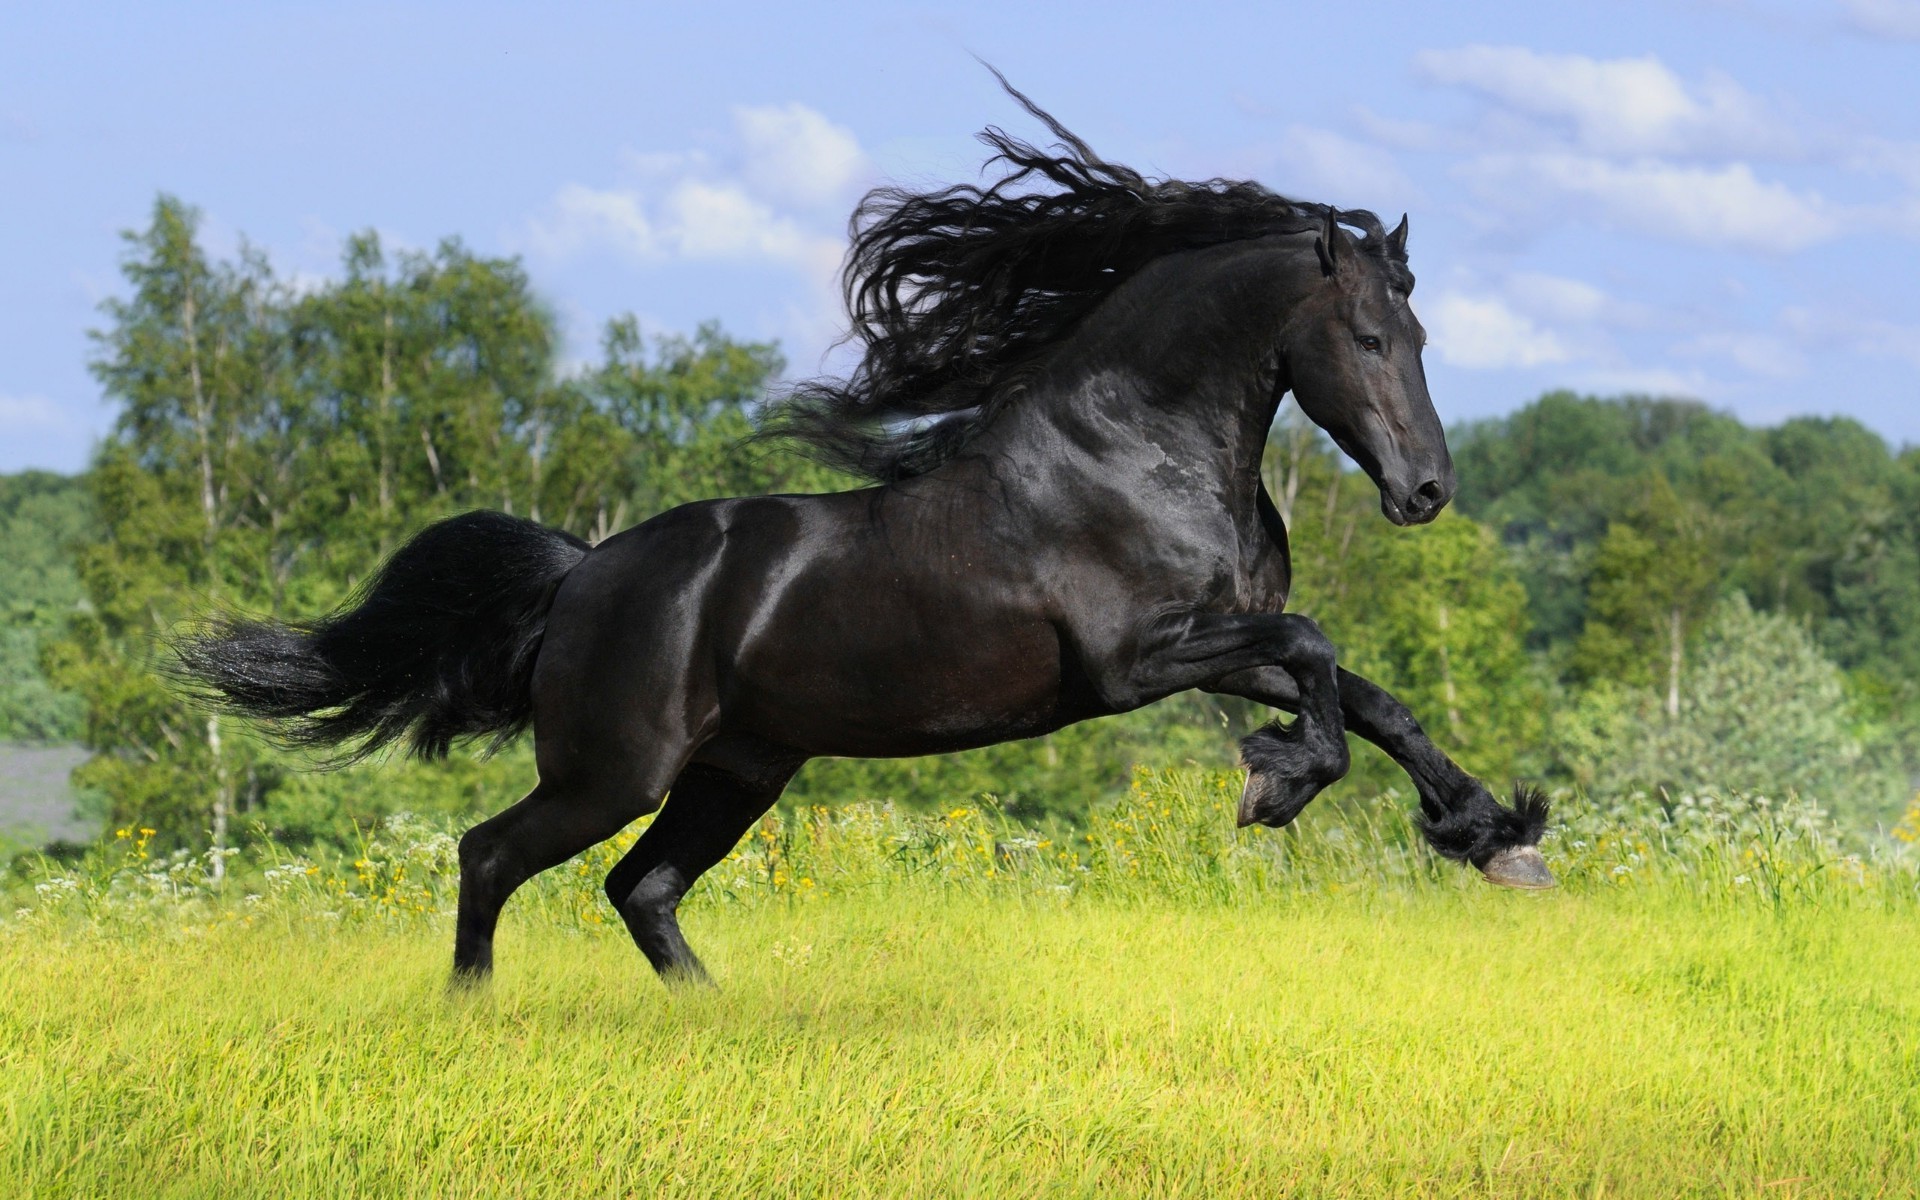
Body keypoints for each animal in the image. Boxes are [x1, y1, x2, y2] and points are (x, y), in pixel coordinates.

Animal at [180, 84, 1551, 983]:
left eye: (1420, 334)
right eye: (1367, 336)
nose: (1425, 491)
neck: (1134, 451)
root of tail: (580, 577)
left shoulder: (1217, 640)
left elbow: (1373, 697)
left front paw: (1496, 840)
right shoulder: (1137, 662)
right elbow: (1319, 653)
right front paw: (1279, 784)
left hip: (737, 770)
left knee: (641, 888)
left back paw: (714, 1019)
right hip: (613, 770)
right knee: (489, 855)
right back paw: (476, 1015)